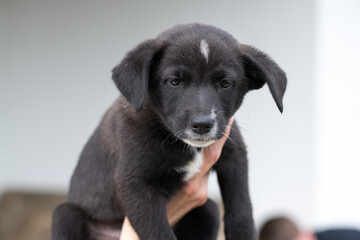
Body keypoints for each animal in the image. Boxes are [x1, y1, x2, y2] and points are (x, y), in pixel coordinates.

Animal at [52, 23, 286, 240]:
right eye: (175, 81)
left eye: (225, 83)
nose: (203, 124)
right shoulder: (135, 184)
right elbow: (159, 232)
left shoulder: (234, 154)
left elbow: (241, 209)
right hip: (65, 214)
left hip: (206, 210)